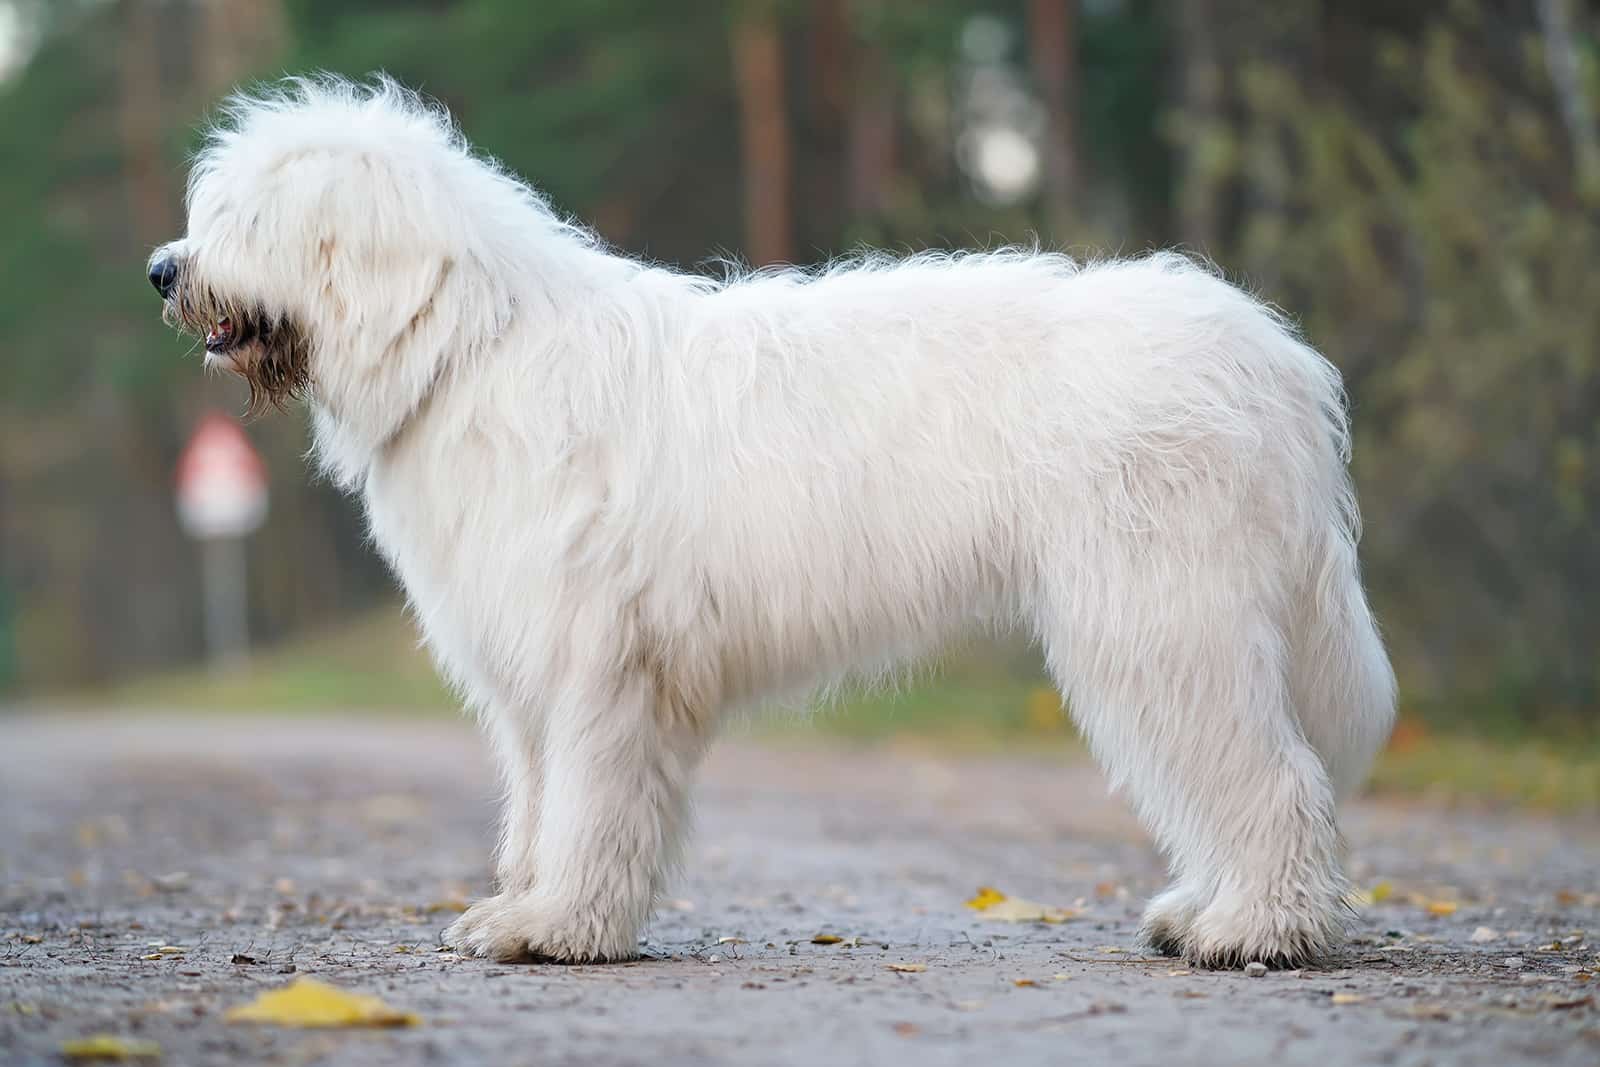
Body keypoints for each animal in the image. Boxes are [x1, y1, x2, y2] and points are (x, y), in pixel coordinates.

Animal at [156, 79, 1395, 972]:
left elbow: (590, 804)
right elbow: (542, 804)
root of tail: (1265, 354)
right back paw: (1203, 908)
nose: (163, 269)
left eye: (248, 217)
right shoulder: (532, 673)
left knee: (1271, 778)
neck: (471, 350)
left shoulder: (599, 657)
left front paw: (557, 925)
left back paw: (1256, 930)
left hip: (1160, 613)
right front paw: (520, 905)